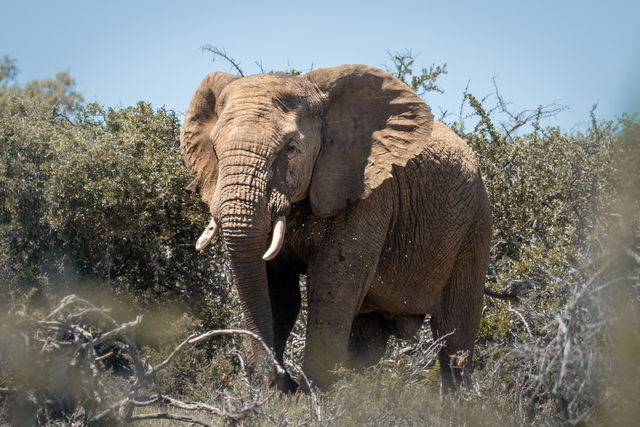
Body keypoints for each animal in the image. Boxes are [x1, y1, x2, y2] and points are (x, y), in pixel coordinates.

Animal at [180, 64, 500, 394]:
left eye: (291, 149)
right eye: (215, 150)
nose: (281, 377)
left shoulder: (368, 191)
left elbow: (331, 287)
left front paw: (311, 396)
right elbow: (277, 293)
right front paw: (275, 393)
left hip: (475, 223)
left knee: (455, 332)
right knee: (369, 335)